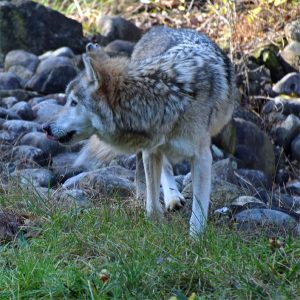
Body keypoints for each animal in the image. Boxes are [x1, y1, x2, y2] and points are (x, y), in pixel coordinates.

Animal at [42, 26, 237, 237]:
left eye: (73, 102)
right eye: (68, 100)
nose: (45, 128)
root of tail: (162, 27)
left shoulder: (202, 157)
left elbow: (198, 210)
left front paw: (196, 240)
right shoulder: (150, 150)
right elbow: (151, 203)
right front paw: (156, 228)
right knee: (163, 168)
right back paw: (172, 198)